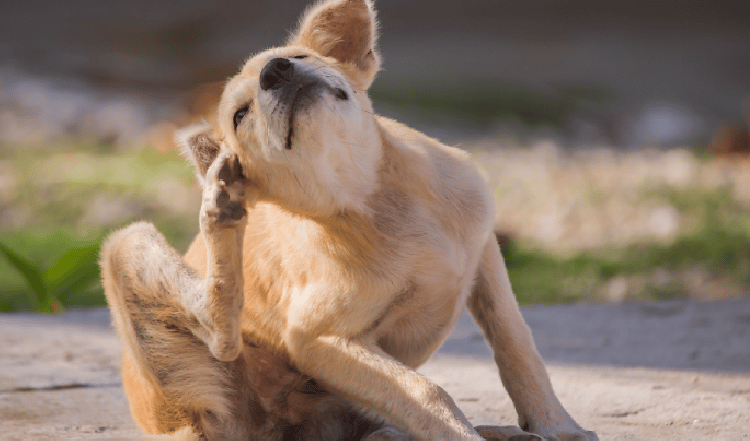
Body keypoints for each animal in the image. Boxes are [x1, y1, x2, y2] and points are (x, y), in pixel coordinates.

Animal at [101, 1, 600, 438]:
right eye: (240, 115)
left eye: (298, 58)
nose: (275, 71)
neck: (371, 198)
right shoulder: (317, 339)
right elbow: (426, 391)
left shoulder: (485, 255)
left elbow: (518, 347)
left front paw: (558, 426)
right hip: (128, 247)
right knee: (221, 333)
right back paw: (221, 208)